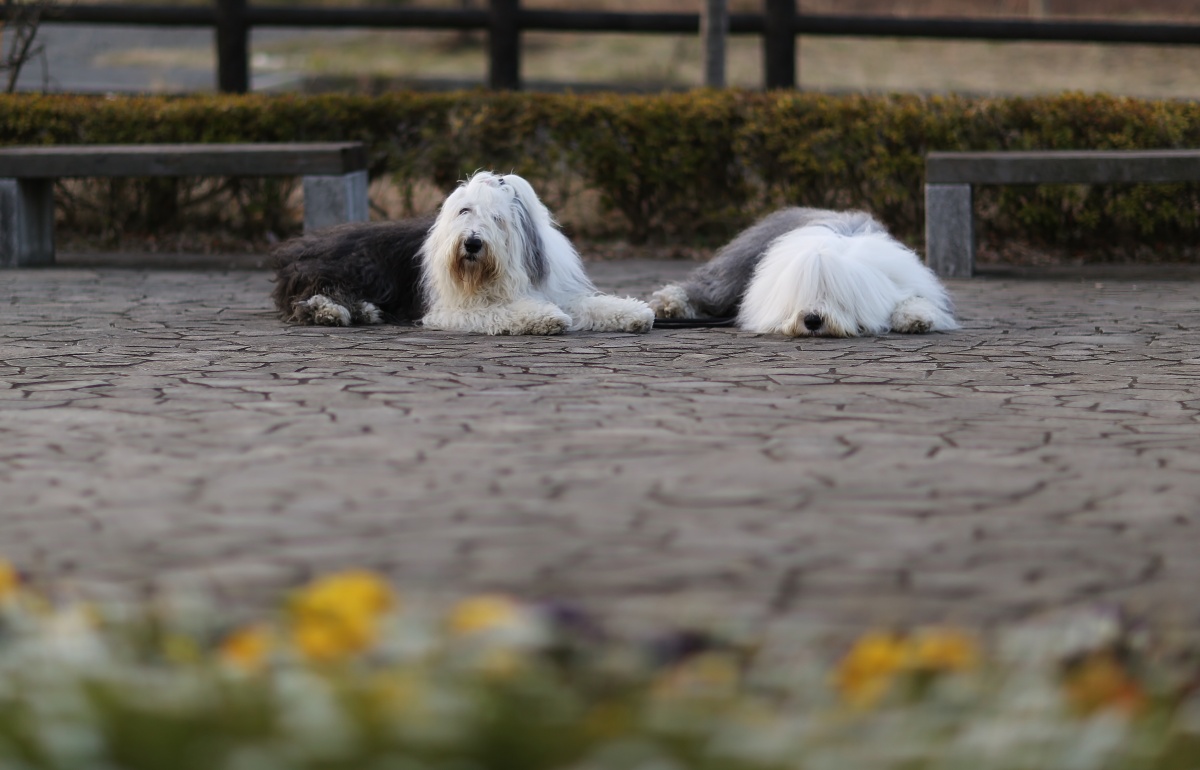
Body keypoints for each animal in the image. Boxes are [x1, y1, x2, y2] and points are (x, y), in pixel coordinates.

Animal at [272, 171, 654, 335]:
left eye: (497, 218)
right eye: (464, 211)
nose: (472, 243)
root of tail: (295, 250)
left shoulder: (553, 289)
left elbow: (589, 304)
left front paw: (635, 313)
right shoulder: (452, 309)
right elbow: (499, 311)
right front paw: (543, 318)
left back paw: (363, 311)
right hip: (352, 267)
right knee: (310, 299)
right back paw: (333, 312)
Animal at [649, 207, 957, 337]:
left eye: (836, 297)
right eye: (799, 294)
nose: (812, 320)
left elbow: (911, 299)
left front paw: (916, 318)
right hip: (735, 270)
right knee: (707, 289)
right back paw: (670, 304)